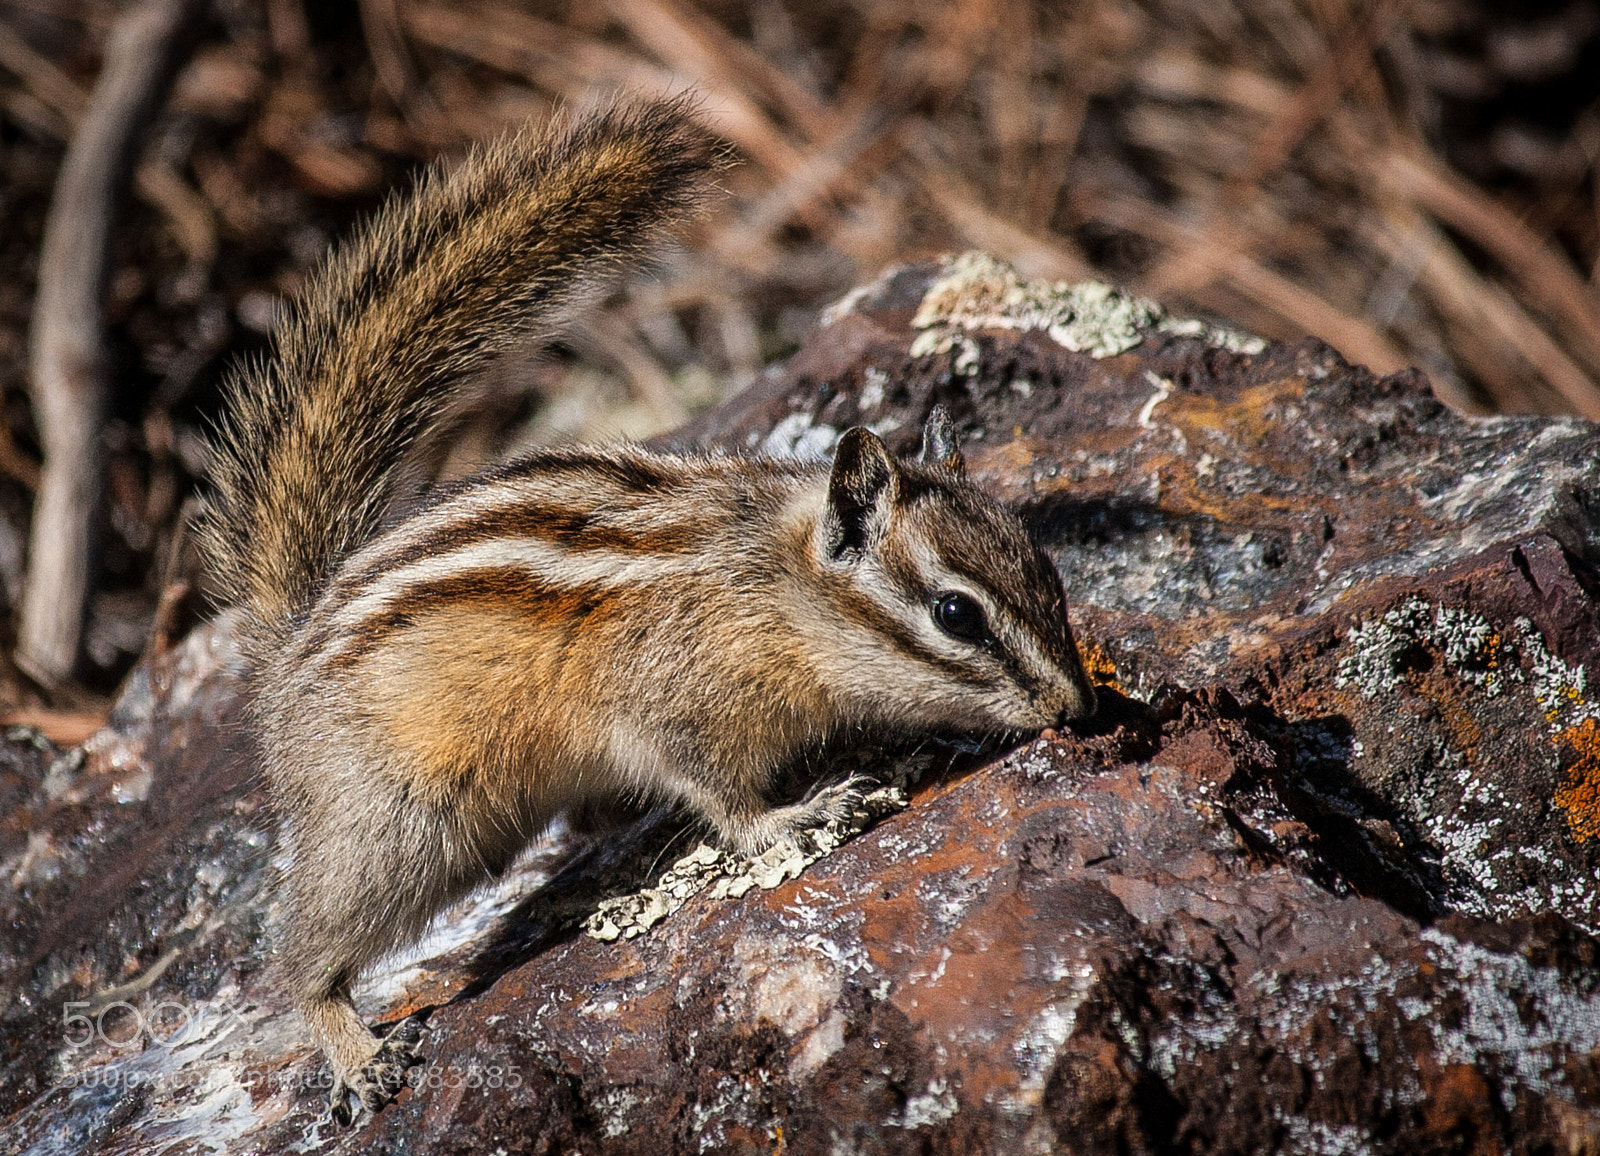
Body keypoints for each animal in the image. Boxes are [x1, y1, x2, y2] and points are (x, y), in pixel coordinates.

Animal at [201, 98, 1097, 1123]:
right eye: (956, 614)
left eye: (1048, 569)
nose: (1080, 710)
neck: (774, 588)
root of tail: (289, 646)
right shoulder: (674, 702)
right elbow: (718, 795)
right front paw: (797, 815)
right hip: (403, 824)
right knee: (302, 956)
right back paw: (356, 1055)